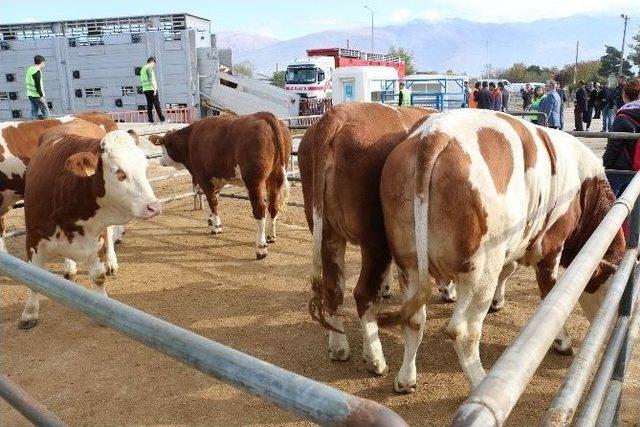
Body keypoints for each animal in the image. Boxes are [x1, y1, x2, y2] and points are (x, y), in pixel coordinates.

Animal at [19, 129, 162, 330]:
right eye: (119, 172)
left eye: (144, 168)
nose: (154, 207)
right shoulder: (33, 237)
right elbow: (34, 277)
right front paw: (30, 312)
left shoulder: (97, 236)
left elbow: (98, 276)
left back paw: (111, 262)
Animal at [149, 112, 292, 260]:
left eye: (164, 146)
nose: (160, 161)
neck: (189, 140)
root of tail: (265, 115)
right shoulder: (218, 178)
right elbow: (215, 198)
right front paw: (212, 219)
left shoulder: (203, 177)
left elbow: (212, 201)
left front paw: (216, 226)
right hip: (275, 177)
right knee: (273, 206)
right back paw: (270, 235)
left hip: (254, 180)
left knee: (260, 209)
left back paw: (261, 248)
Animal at [298, 103, 438, 374]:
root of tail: (336, 116)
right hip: (374, 238)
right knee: (363, 294)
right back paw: (375, 358)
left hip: (326, 232)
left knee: (334, 288)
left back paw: (338, 347)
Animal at [378, 108, 624, 392]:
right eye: (613, 293)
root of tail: (434, 134)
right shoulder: (550, 246)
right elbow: (552, 296)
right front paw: (561, 341)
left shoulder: (516, 244)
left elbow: (510, 270)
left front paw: (498, 300)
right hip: (481, 266)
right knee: (463, 330)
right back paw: (480, 381)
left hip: (408, 261)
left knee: (414, 318)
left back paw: (406, 379)